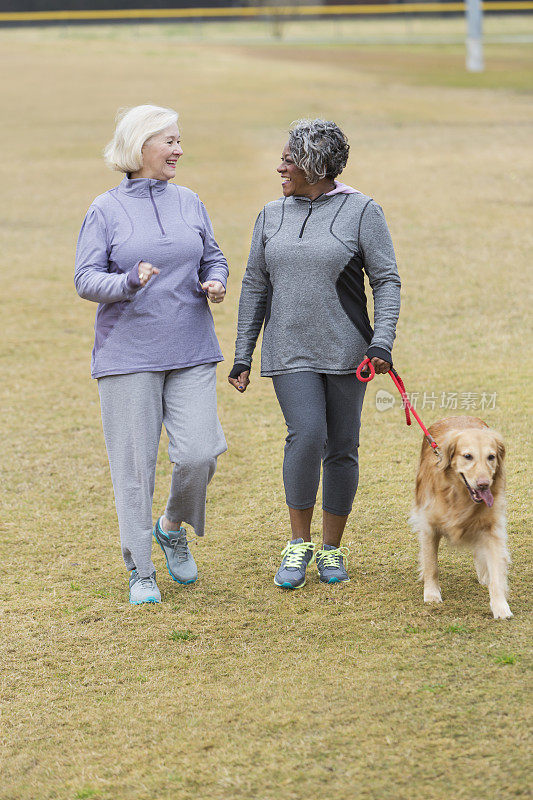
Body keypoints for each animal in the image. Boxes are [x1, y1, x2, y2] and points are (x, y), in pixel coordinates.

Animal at [410, 416, 510, 620]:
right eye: (467, 456)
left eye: (491, 457)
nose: (484, 484)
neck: (458, 495)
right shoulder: (428, 526)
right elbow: (431, 564)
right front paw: (431, 594)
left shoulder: (492, 528)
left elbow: (497, 570)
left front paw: (500, 607)